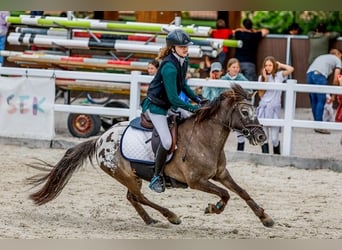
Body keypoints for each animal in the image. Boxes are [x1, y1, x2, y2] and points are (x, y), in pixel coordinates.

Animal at [25, 83, 274, 228]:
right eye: (244, 112)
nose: (262, 136)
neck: (205, 138)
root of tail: (100, 139)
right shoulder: (197, 181)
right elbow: (225, 194)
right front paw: (214, 208)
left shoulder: (221, 173)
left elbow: (241, 192)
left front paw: (265, 218)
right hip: (125, 175)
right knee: (140, 197)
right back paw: (170, 216)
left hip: (132, 176)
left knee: (132, 198)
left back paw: (150, 219)